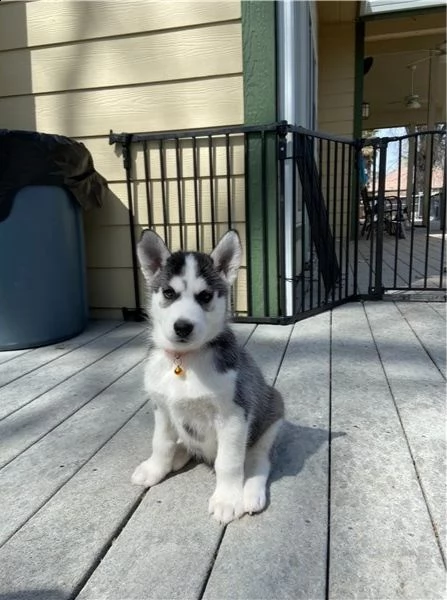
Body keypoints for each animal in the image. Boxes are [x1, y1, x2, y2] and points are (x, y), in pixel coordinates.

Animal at [132, 232, 284, 524]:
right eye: (168, 293)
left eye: (205, 296)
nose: (183, 327)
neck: (184, 361)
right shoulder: (162, 408)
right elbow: (161, 443)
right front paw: (155, 468)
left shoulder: (234, 415)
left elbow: (229, 463)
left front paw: (227, 499)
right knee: (184, 443)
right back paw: (179, 454)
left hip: (273, 414)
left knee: (258, 459)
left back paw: (251, 492)